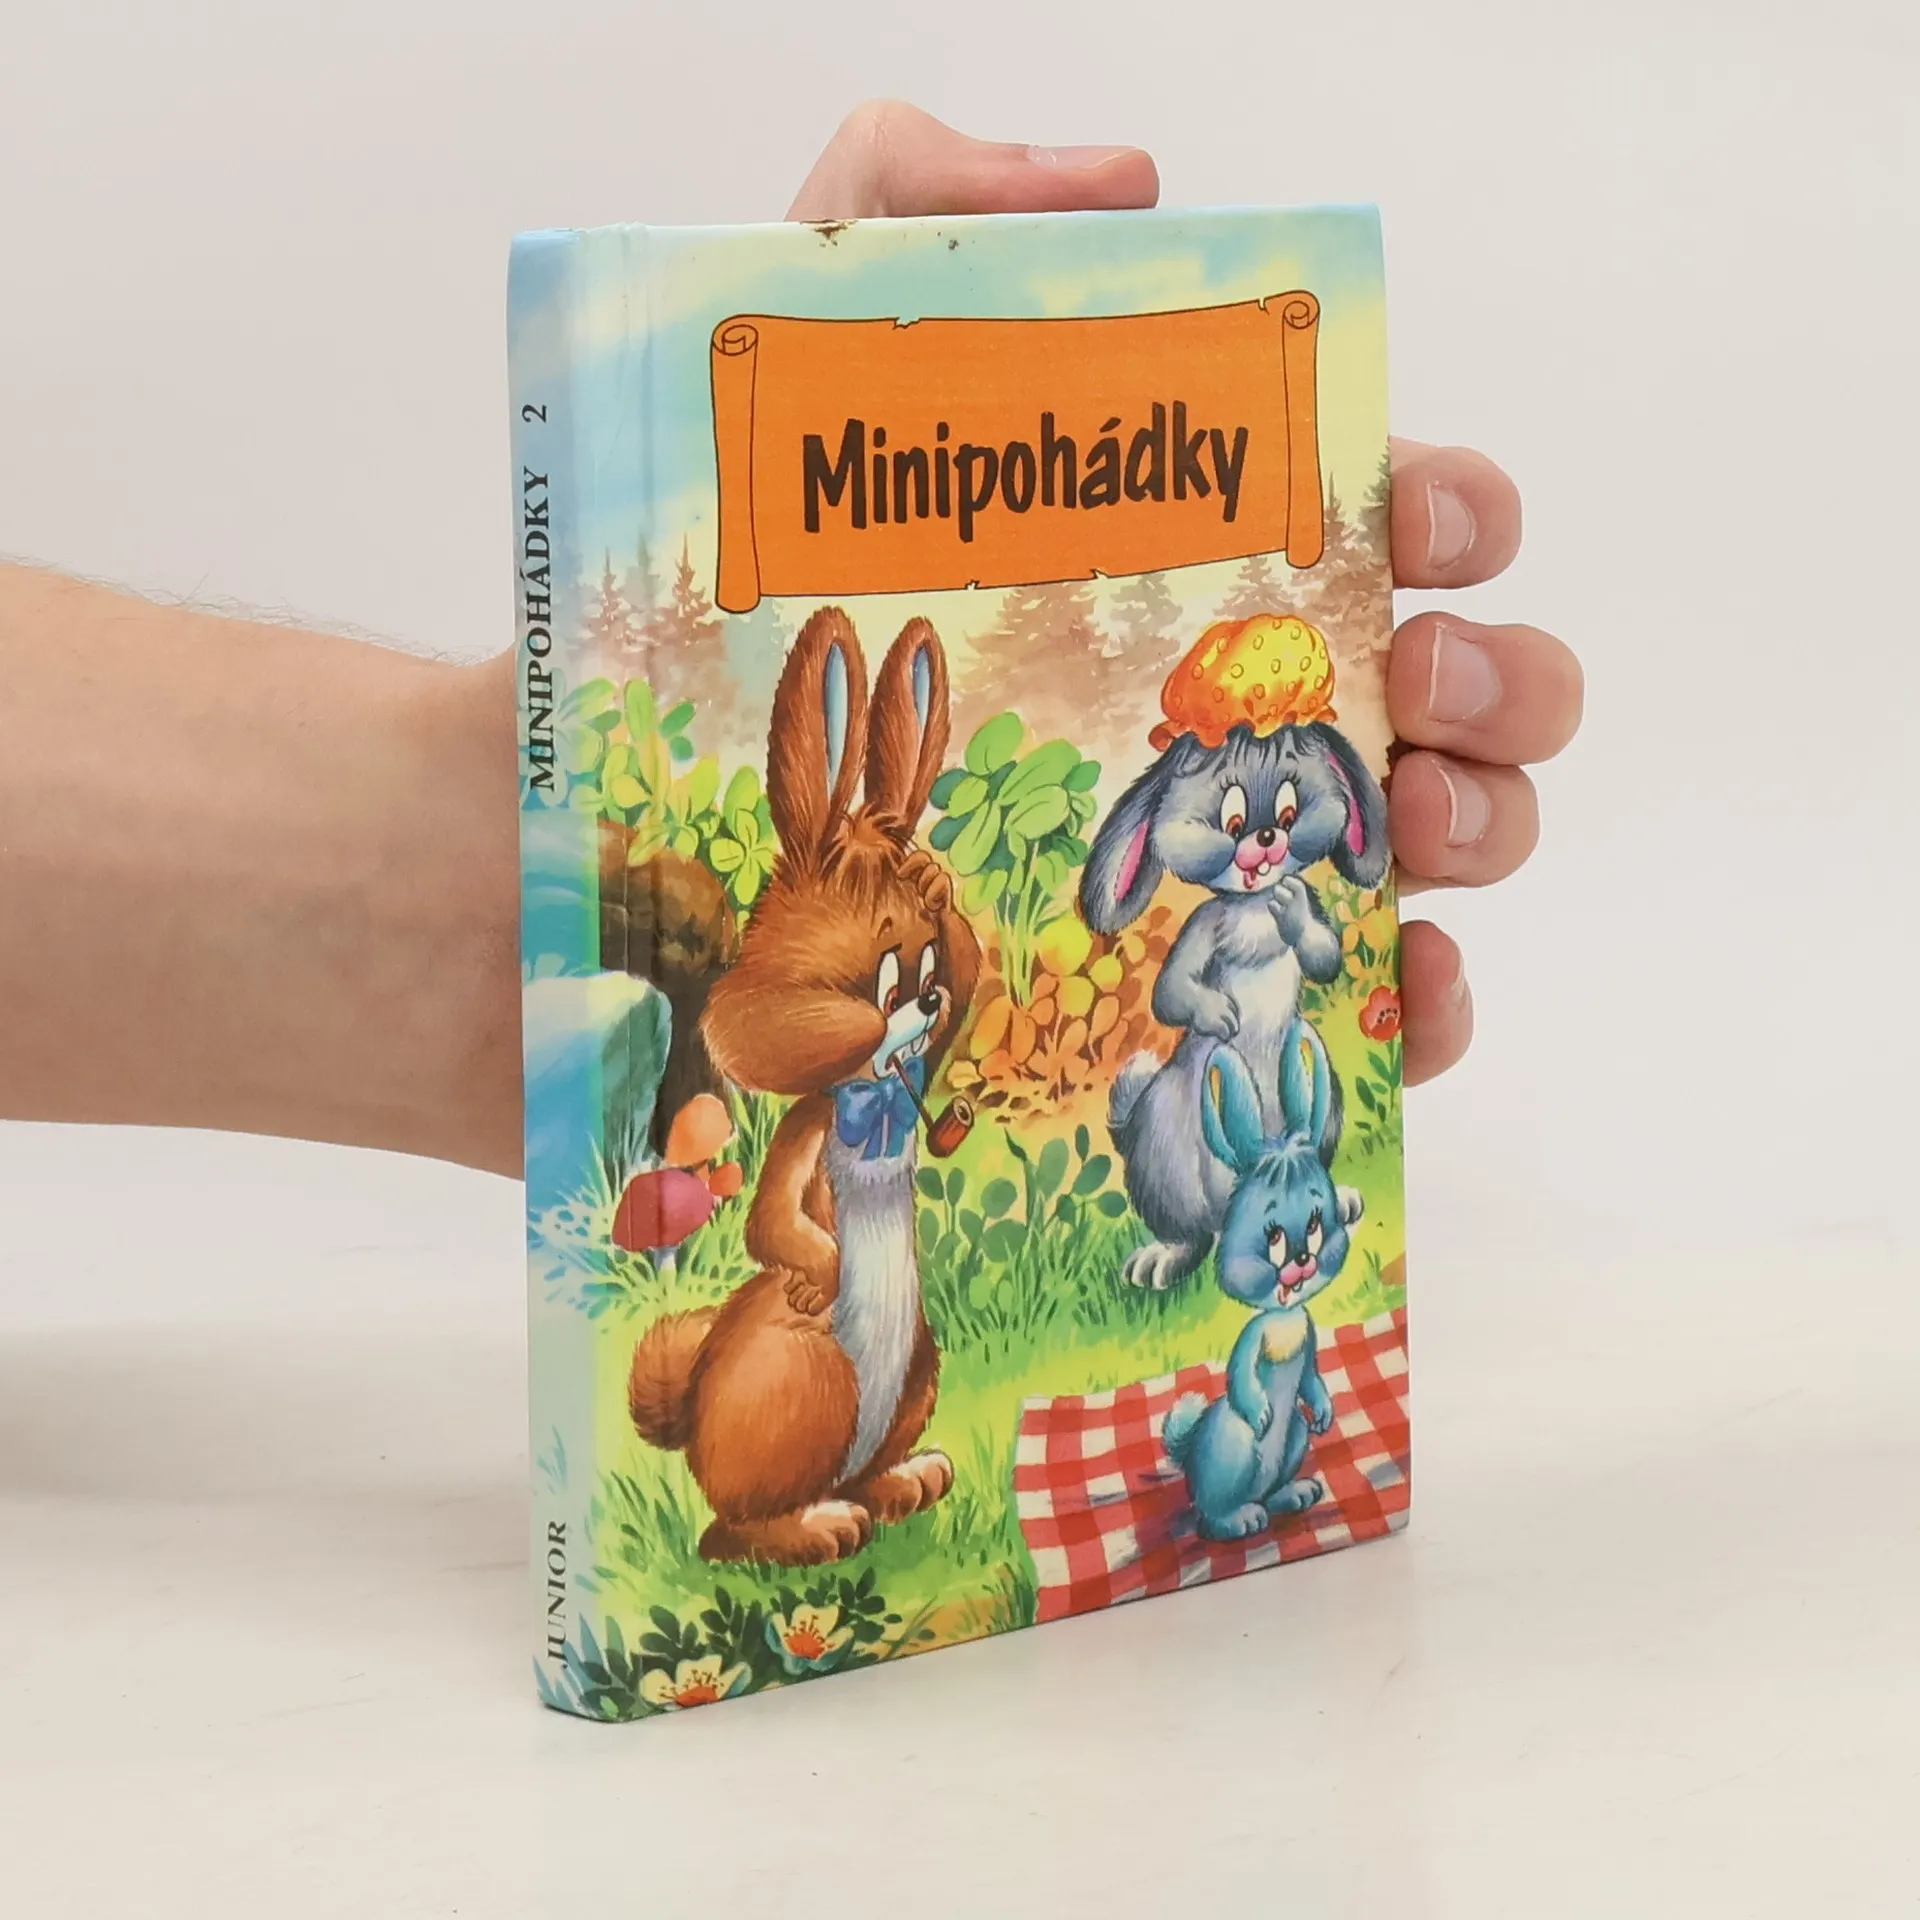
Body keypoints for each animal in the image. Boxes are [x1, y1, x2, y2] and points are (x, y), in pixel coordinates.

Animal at [626, 606, 981, 1566]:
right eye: (888, 983)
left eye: (930, 973)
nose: (924, 1002)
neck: (879, 1094)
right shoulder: (811, 1120)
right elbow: (769, 1214)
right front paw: (819, 1267)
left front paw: (935, 879)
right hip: (809, 1374)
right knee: (731, 1531)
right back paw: (815, 1526)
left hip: (921, 1365)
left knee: (868, 1469)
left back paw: (903, 1482)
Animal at [1079, 719, 1387, 1289]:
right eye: (1233, 818)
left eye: (1289, 813)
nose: (1267, 837)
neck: (1253, 905)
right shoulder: (1204, 923)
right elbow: (1170, 991)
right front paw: (1219, 1014)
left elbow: (1324, 953)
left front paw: (1291, 914)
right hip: (1167, 1141)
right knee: (1194, 1229)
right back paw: (1167, 1257)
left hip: (1320, 1093)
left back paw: (1338, 1200)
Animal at [1160, 1018, 1362, 1541]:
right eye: (1272, 1235)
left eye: (1316, 1224)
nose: (1303, 1262)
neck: (1285, 1316)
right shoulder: (1254, 1335)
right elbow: (1241, 1374)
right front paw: (1259, 1408)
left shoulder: (1306, 1329)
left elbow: (1310, 1375)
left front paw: (1325, 1409)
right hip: (1230, 1449)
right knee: (1212, 1513)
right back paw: (1240, 1520)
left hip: (1293, 1437)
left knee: (1275, 1478)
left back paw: (1293, 1494)